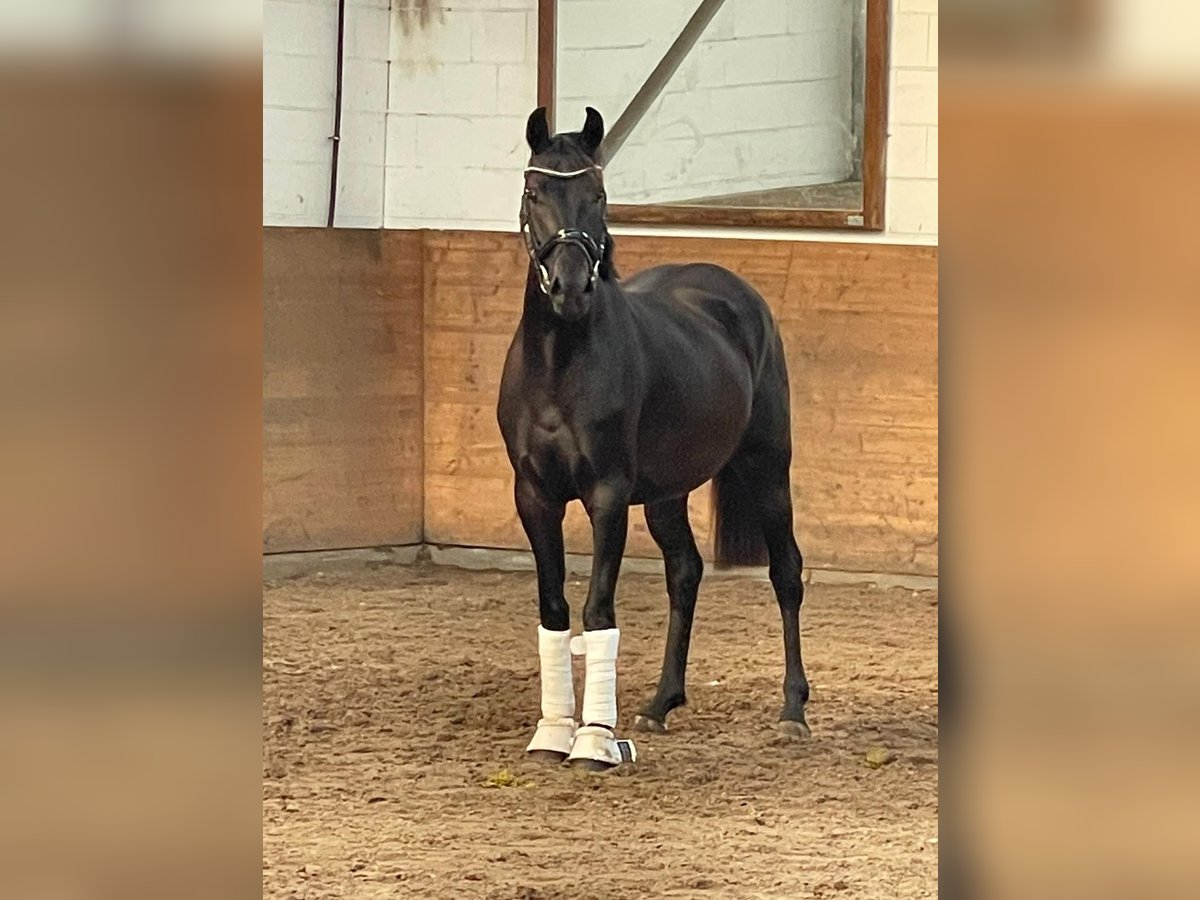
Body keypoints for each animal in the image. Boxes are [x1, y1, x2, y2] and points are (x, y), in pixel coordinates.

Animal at [496, 106, 810, 770]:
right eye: (535, 193)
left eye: (598, 194)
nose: (570, 289)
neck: (560, 364)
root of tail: (736, 294)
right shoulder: (533, 496)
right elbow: (555, 608)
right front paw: (553, 733)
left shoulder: (608, 496)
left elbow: (598, 607)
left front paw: (593, 739)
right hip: (667, 494)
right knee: (685, 571)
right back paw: (662, 702)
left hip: (767, 468)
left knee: (786, 572)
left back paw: (792, 711)